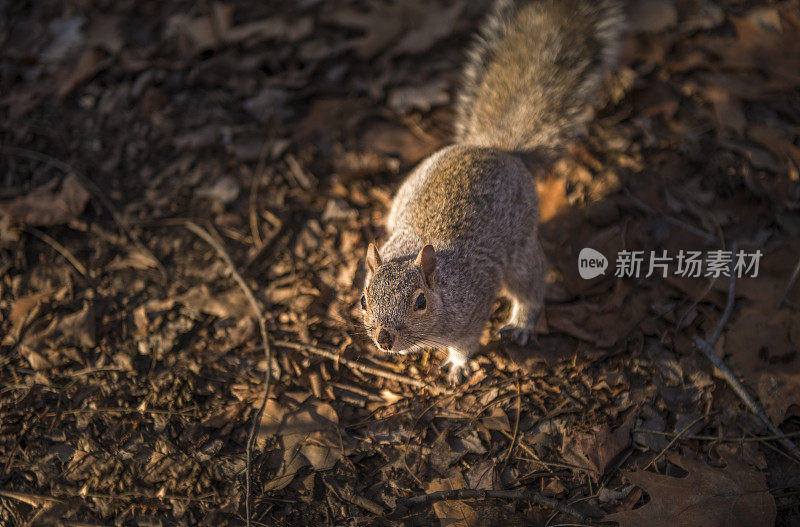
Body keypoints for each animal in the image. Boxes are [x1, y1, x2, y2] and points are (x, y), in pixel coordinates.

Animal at [358, 0, 624, 382]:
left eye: (420, 302)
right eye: (364, 300)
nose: (384, 338)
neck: (444, 288)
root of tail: (498, 150)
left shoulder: (472, 313)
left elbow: (465, 344)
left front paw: (457, 366)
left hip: (522, 251)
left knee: (531, 288)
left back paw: (521, 324)